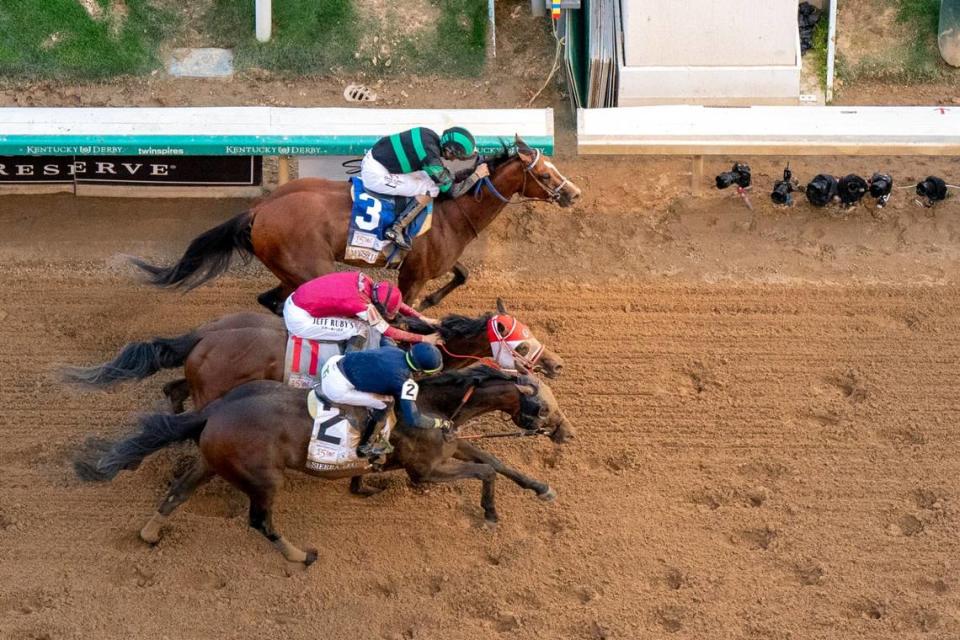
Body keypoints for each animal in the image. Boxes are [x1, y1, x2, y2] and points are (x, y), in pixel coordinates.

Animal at [90, 364, 568, 564]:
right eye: (545, 406)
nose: (568, 433)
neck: (433, 403)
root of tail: (217, 408)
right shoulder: (426, 470)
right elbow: (484, 469)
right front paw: (490, 513)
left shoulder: (447, 448)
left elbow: (493, 459)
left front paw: (540, 488)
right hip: (265, 479)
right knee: (260, 521)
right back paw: (300, 554)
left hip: (211, 462)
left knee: (178, 492)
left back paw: (151, 533)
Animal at [127, 137, 576, 312]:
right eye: (546, 174)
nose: (573, 193)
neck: (453, 213)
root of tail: (259, 212)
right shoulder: (413, 276)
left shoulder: (433, 262)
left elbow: (462, 275)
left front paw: (433, 303)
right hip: (309, 268)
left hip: (289, 271)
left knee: (271, 300)